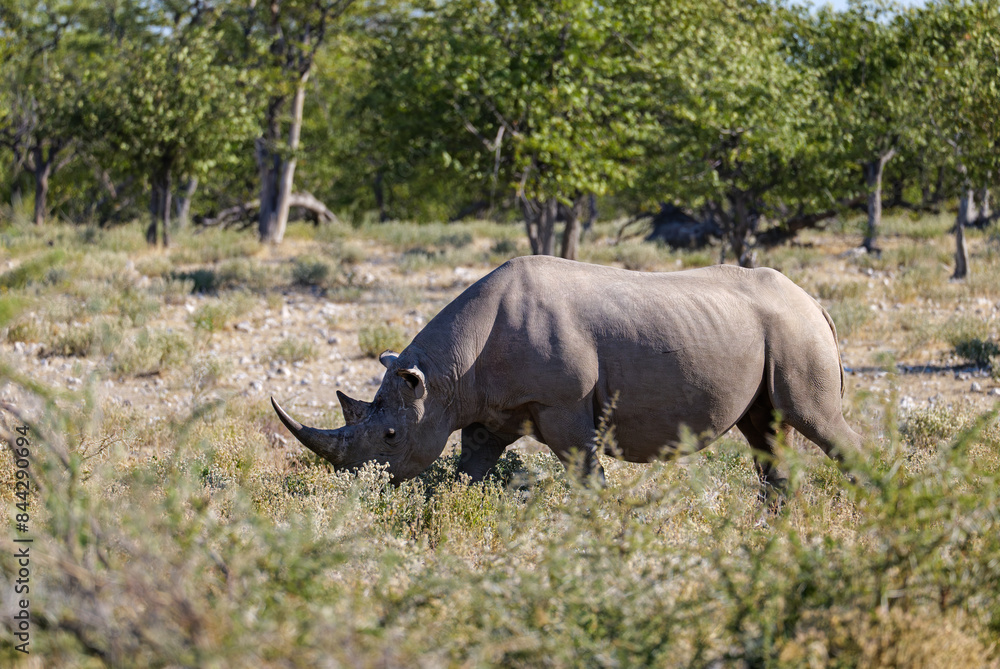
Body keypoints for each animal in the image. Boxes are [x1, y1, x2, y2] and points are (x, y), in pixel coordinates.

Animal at [272, 256, 862, 487]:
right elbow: (467, 474)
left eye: (391, 435)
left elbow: (586, 474)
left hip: (795, 330)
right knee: (765, 430)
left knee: (814, 419)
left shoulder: (563, 404)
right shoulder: (486, 411)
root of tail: (814, 302)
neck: (442, 376)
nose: (359, 484)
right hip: (774, 330)